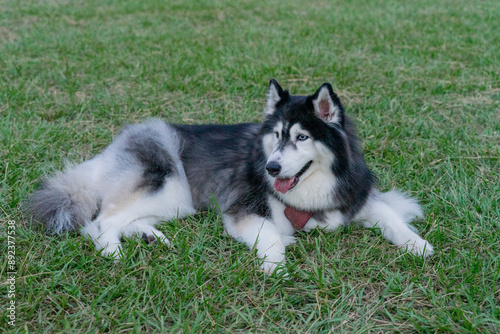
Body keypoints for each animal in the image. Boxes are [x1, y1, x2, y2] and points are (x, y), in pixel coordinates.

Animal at [28, 79, 434, 272]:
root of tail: (109, 150)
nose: (272, 167)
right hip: (167, 183)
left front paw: (418, 245)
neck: (312, 188)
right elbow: (271, 235)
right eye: (276, 135)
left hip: (179, 201)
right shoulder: (242, 209)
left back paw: (148, 235)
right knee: (99, 222)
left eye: (302, 137)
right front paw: (276, 266)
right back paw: (113, 252)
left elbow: (391, 215)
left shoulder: (355, 198)